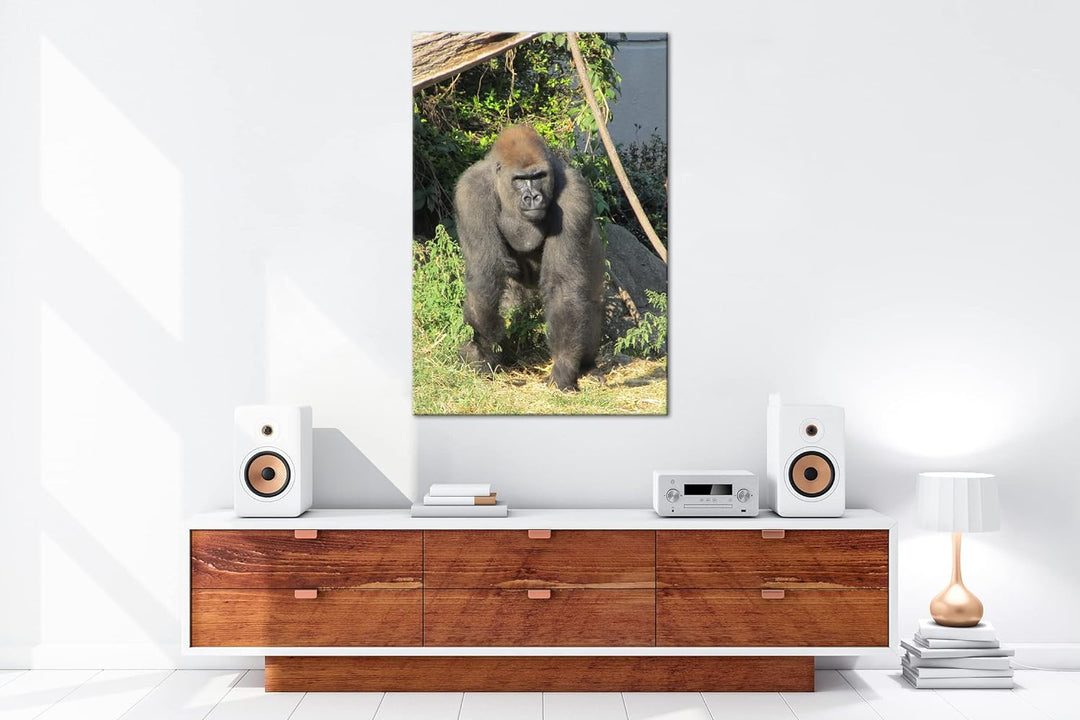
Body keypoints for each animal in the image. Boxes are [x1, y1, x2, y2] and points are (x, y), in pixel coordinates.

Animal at [454, 125, 605, 391]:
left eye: (538, 176)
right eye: (519, 180)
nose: (533, 197)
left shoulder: (574, 195)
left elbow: (562, 285)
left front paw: (564, 366)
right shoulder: (471, 192)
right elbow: (485, 275)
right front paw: (482, 351)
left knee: (587, 302)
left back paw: (587, 365)